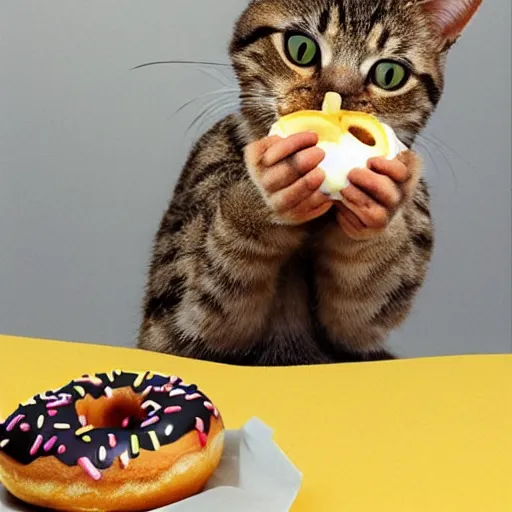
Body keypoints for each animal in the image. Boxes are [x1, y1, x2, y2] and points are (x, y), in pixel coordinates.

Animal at [136, 1, 480, 368]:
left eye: (389, 75)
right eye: (301, 49)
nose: (335, 99)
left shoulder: (360, 329)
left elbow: (359, 307)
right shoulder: (177, 303)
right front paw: (265, 193)